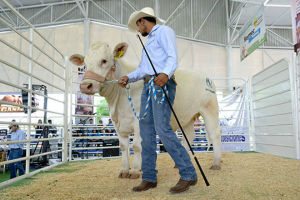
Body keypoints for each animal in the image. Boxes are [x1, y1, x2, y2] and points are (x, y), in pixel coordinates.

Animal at [78, 41, 221, 178]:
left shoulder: (139, 121)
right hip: (186, 117)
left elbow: (136, 146)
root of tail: (207, 78)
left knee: (215, 134)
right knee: (189, 136)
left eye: (104, 60)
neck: (118, 101)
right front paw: (124, 170)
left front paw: (135, 170)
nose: (85, 86)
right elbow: (124, 147)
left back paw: (216, 163)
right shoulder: (117, 124)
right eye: (84, 64)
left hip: (210, 109)